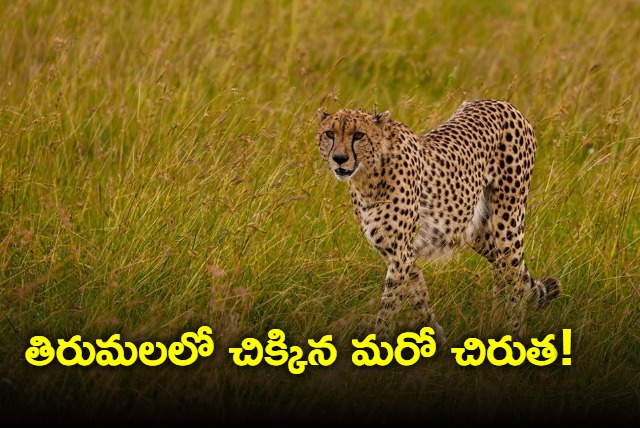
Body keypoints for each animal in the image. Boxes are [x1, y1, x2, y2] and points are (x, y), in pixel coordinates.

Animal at [316, 99, 560, 345]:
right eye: (330, 134)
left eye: (358, 135)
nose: (339, 159)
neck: (368, 175)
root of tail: (502, 103)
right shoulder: (401, 254)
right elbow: (418, 298)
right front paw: (437, 338)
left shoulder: (401, 255)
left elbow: (389, 305)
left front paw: (380, 341)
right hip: (478, 232)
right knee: (510, 275)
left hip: (507, 225)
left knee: (514, 280)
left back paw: (512, 333)